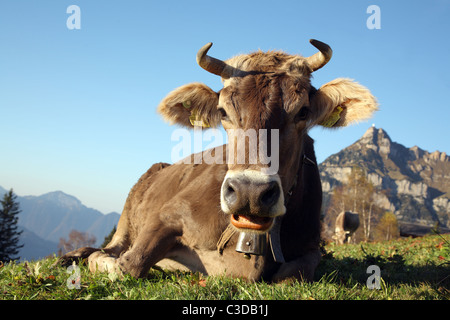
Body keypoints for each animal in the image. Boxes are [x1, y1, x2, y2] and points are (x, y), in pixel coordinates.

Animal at [59, 40, 376, 282]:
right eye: (223, 112)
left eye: (303, 111)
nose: (251, 192)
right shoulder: (166, 214)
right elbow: (127, 266)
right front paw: (102, 261)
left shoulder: (311, 246)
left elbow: (291, 275)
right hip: (127, 217)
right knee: (113, 247)